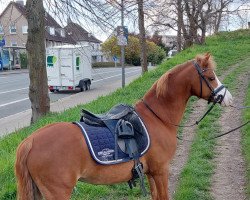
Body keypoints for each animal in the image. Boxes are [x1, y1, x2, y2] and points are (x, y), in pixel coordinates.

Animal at [15, 52, 232, 199]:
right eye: (211, 77)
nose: (227, 97)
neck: (158, 117)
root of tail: (30, 141)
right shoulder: (161, 171)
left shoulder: (151, 173)